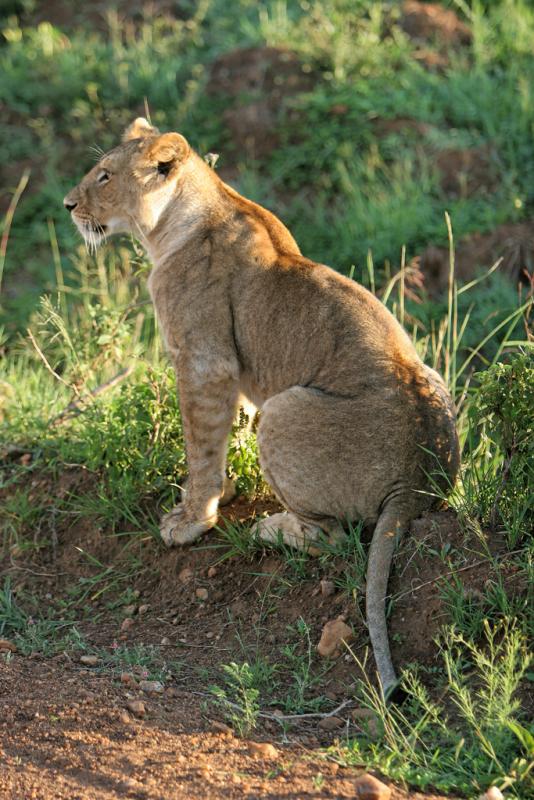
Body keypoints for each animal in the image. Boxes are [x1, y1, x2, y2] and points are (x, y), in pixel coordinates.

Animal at [65, 119, 460, 692]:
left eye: (104, 175)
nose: (69, 205)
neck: (188, 214)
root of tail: (417, 480)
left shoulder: (204, 361)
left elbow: (201, 442)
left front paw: (192, 519)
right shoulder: (234, 375)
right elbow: (222, 436)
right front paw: (220, 492)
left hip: (286, 409)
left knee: (333, 537)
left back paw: (272, 527)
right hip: (425, 377)